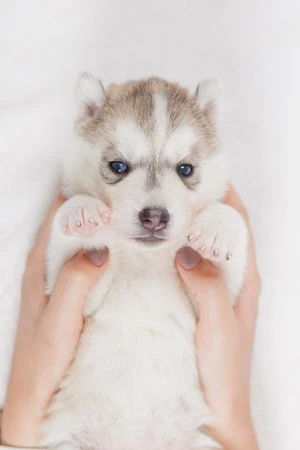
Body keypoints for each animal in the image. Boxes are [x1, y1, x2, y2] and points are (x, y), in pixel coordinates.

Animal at [42, 74, 248, 450]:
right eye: (118, 166)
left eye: (186, 169)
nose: (155, 217)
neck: (145, 259)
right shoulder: (74, 294)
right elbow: (65, 242)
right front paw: (82, 210)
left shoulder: (219, 297)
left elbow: (231, 223)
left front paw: (217, 228)